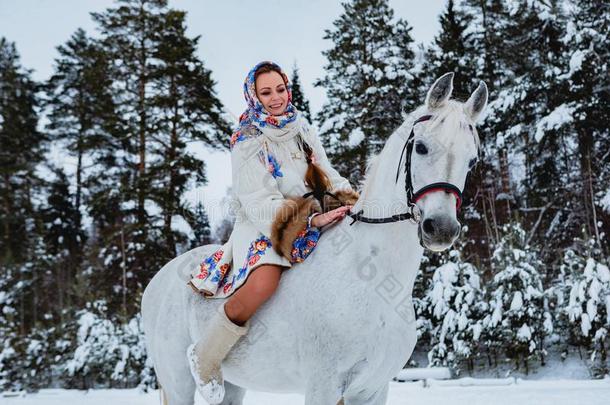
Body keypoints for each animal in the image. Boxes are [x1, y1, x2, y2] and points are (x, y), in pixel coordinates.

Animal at [140, 73, 486, 404]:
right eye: (422, 147)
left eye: (472, 161)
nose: (441, 228)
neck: (373, 280)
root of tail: (159, 277)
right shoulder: (324, 385)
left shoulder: (372, 389)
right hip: (179, 383)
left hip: (235, 386)